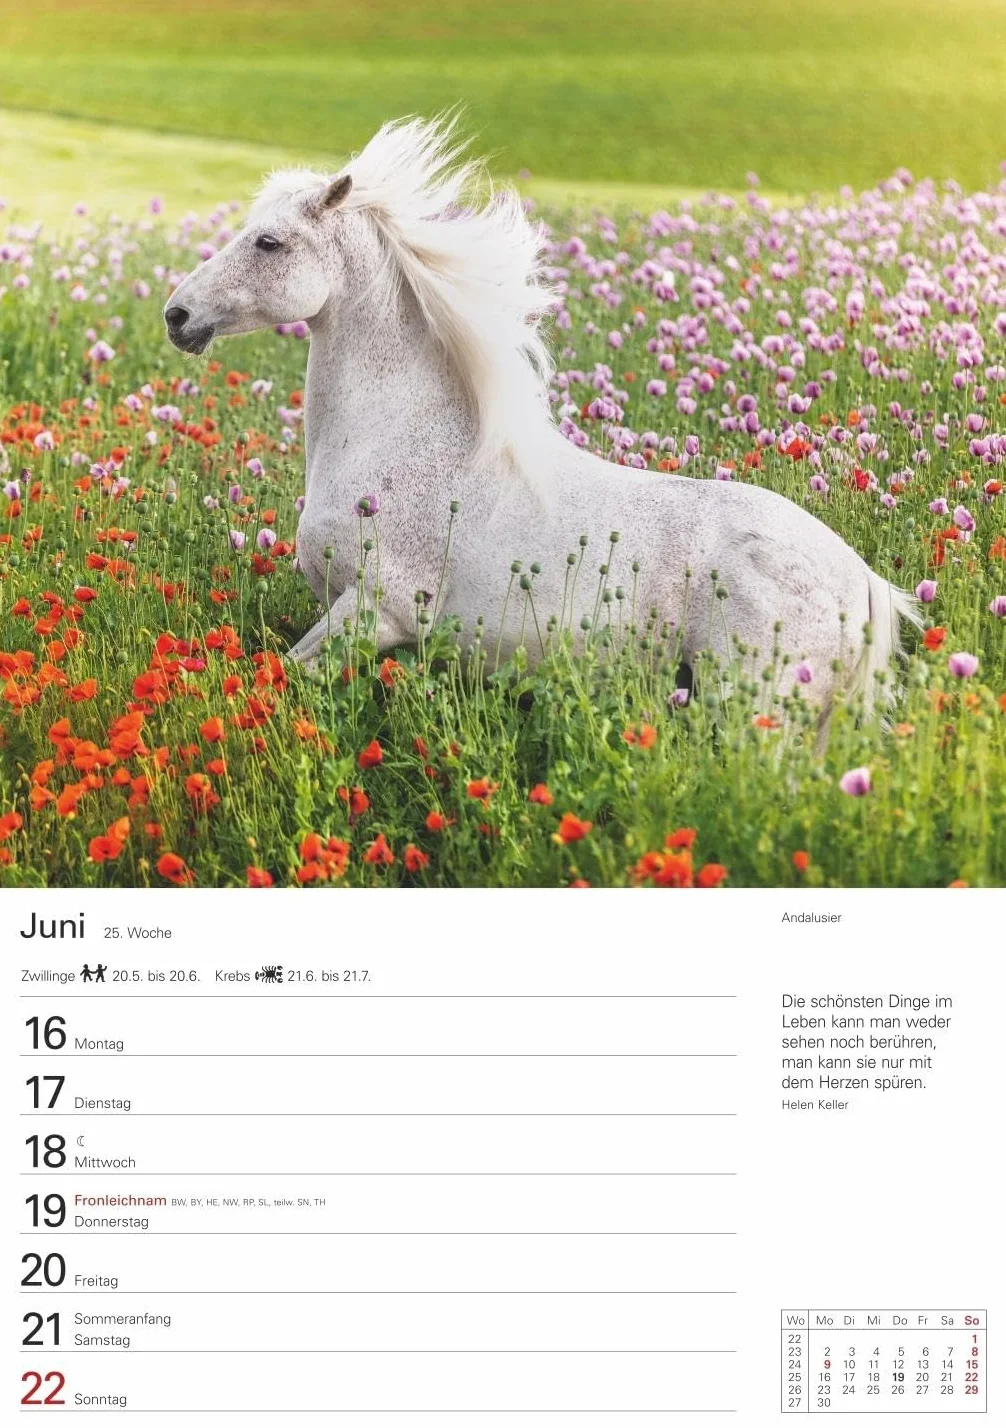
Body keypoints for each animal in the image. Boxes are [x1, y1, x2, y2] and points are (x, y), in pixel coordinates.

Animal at [163, 115, 918, 714]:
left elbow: (283, 676)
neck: (398, 440)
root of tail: (866, 582)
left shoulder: (372, 612)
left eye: (269, 242)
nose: (177, 316)